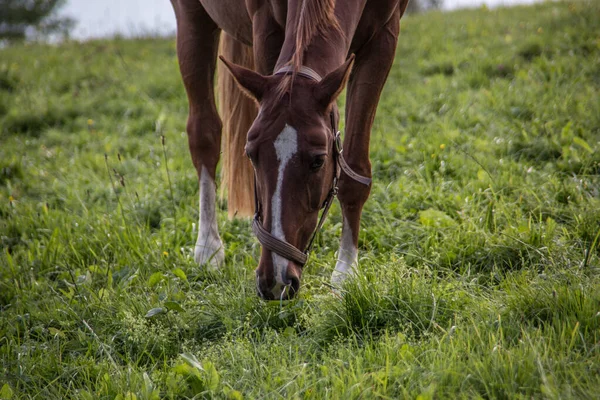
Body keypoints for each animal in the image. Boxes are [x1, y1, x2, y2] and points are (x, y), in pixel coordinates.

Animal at [171, 0, 410, 298]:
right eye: (251, 155)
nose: (274, 281)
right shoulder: (266, 26)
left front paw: (345, 273)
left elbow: (354, 172)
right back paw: (208, 249)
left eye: (318, 161)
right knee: (204, 134)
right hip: (191, 16)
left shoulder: (384, 36)